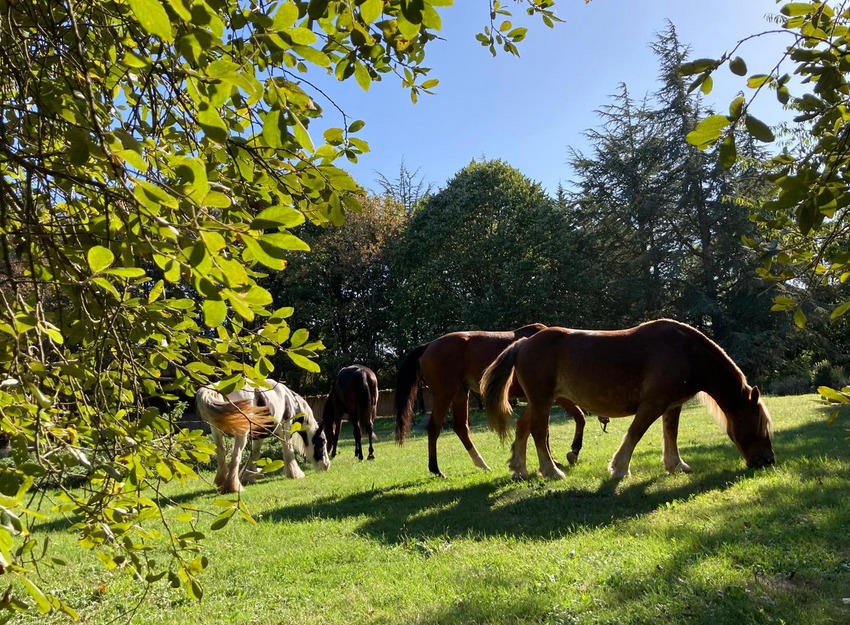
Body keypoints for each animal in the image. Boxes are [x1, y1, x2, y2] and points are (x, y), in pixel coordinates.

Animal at [196, 379, 330, 493]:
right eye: (323, 441)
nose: (326, 465)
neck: (289, 400)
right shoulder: (285, 429)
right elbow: (288, 451)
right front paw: (295, 474)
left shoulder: (259, 435)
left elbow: (254, 454)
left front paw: (248, 477)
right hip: (241, 434)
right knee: (236, 456)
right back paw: (233, 487)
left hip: (216, 431)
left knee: (220, 452)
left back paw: (222, 481)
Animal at [395, 324, 597, 478]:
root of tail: (428, 345)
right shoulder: (553, 396)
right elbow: (577, 417)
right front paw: (571, 452)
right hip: (445, 394)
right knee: (434, 428)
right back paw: (436, 469)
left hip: (460, 394)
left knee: (461, 427)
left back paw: (481, 464)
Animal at [481, 319, 775, 480]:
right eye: (759, 426)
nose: (768, 461)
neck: (686, 352)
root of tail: (523, 343)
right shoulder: (652, 404)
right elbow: (635, 433)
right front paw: (619, 468)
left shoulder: (672, 405)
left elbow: (671, 434)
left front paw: (676, 465)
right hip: (542, 401)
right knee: (539, 433)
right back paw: (551, 471)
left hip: (538, 401)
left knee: (523, 428)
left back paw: (519, 469)